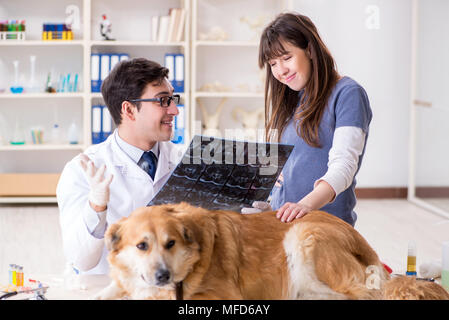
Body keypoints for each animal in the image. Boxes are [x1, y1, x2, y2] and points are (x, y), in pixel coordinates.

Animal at [93, 202, 446, 300]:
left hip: (304, 236)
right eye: (142, 245)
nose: (163, 276)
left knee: (370, 295)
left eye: (171, 243)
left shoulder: (223, 295)